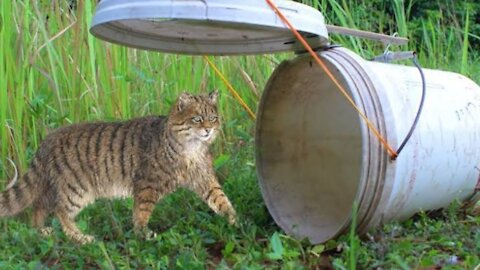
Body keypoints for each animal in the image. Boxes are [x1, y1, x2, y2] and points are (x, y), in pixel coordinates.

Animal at [0, 91, 236, 245]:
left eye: (213, 117)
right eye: (197, 119)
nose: (208, 129)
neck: (190, 149)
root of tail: (49, 138)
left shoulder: (205, 179)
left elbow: (221, 199)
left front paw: (234, 221)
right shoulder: (147, 185)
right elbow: (142, 213)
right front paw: (142, 234)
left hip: (55, 187)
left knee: (38, 207)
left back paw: (41, 231)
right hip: (76, 190)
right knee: (60, 212)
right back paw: (81, 238)